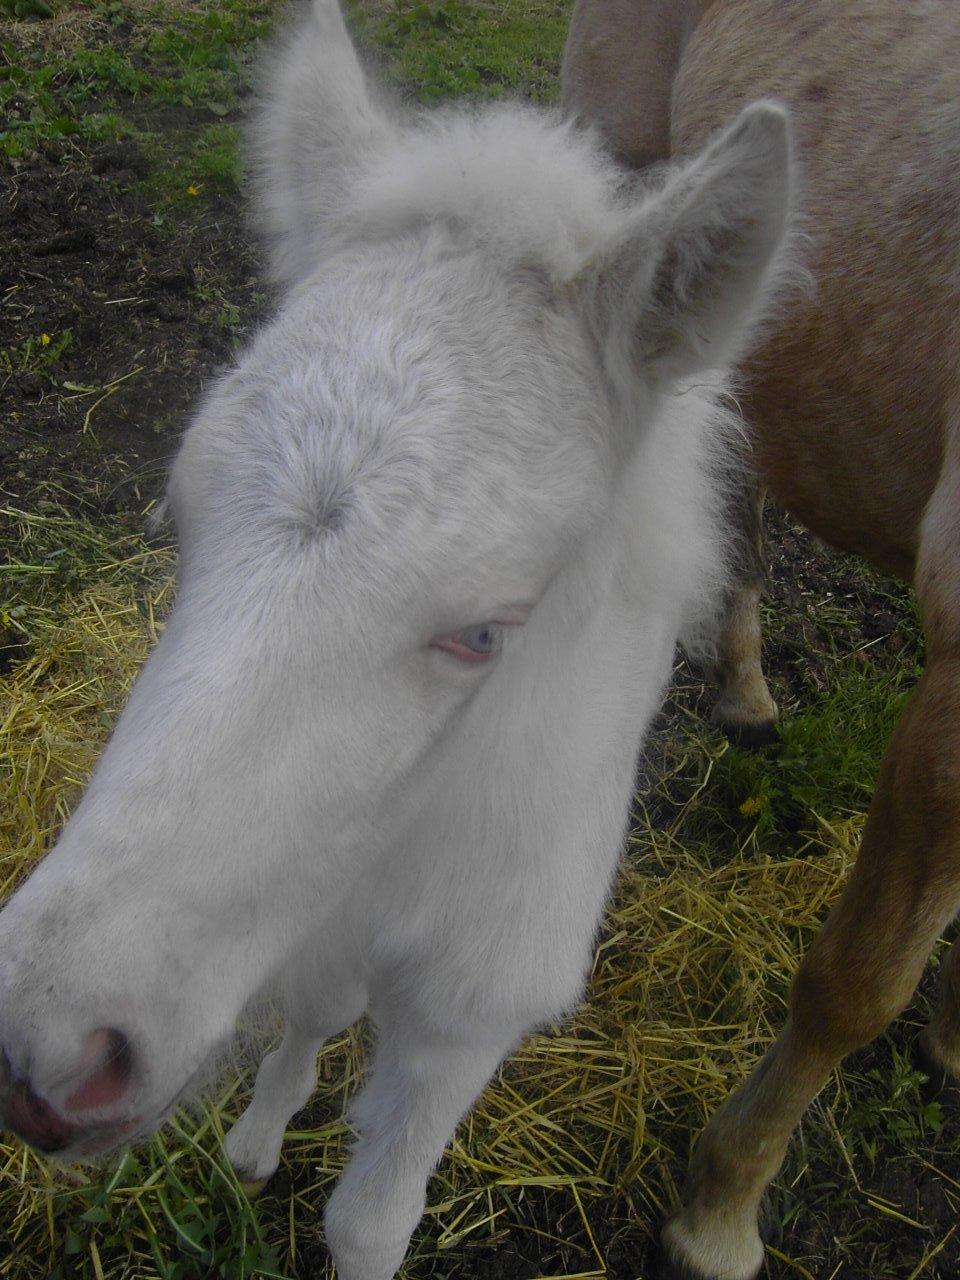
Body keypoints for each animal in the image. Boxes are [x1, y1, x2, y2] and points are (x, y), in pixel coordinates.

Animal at [0, 5, 793, 1274]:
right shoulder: (308, 916)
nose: (54, 1052)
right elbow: (316, 1011)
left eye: (485, 629)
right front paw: (258, 1137)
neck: (413, 844)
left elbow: (374, 1217)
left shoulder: (482, 995)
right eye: (181, 513)